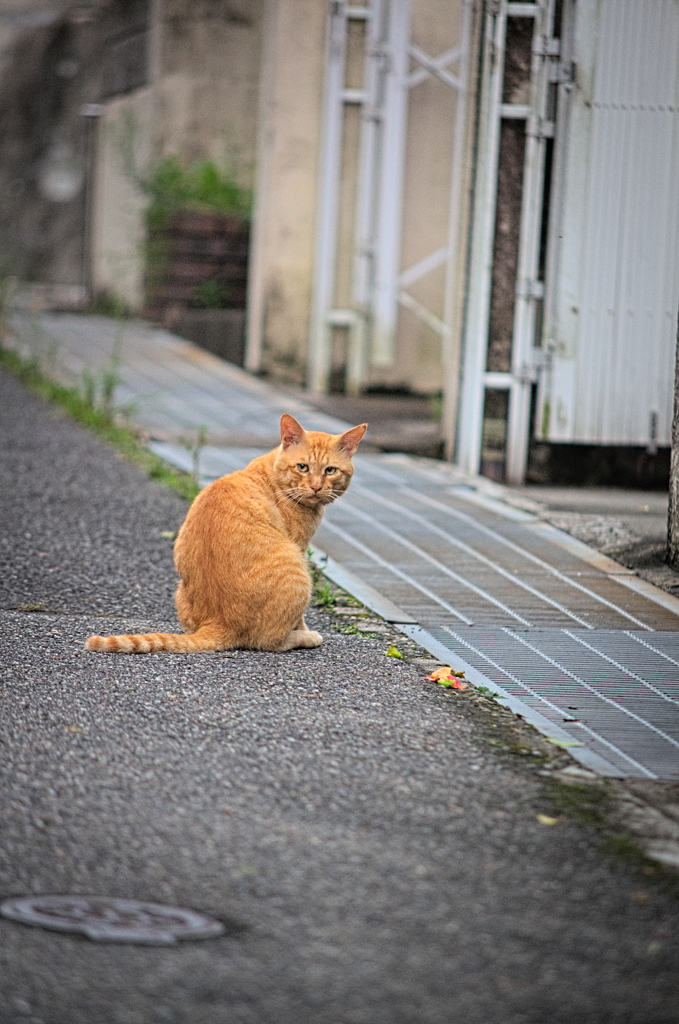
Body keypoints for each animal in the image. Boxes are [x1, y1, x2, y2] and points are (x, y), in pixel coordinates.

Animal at [87, 411, 368, 651]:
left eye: (330, 470)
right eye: (303, 467)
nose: (316, 487)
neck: (275, 476)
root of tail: (220, 622)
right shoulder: (299, 546)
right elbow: (299, 619)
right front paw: (306, 631)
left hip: (180, 589)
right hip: (299, 571)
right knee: (269, 641)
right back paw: (306, 638)